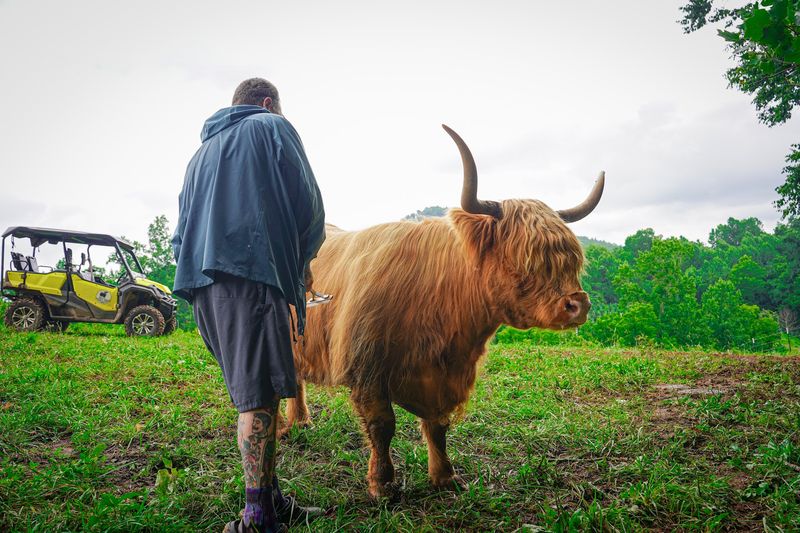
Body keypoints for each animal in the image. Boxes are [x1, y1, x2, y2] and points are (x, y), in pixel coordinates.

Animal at [283, 125, 604, 499]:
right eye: (524, 258)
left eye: (572, 260)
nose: (578, 303)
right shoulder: (367, 368)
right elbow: (382, 425)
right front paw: (383, 484)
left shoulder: (446, 374)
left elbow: (437, 426)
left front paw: (445, 477)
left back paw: (300, 422)